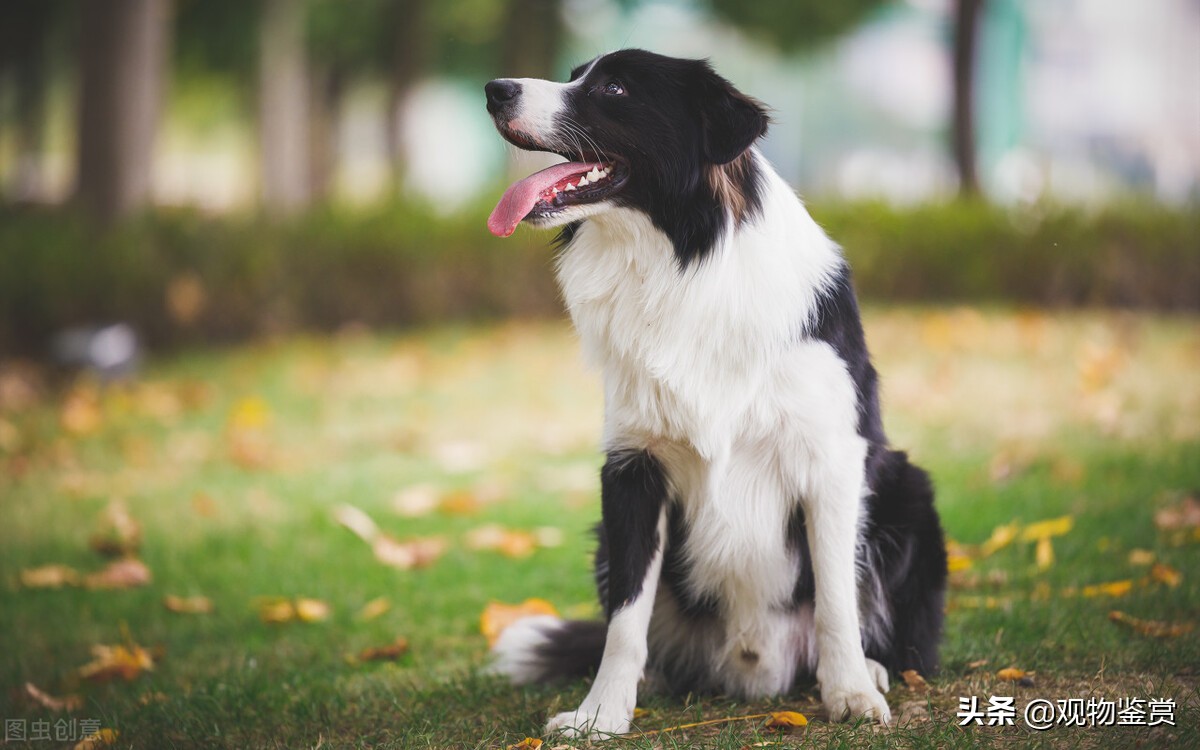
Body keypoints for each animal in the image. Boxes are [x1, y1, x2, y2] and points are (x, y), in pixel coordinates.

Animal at [482, 51, 940, 739]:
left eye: (613, 87)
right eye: (576, 72)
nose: (494, 89)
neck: (683, 262)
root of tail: (757, 670)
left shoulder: (831, 461)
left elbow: (836, 598)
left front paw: (852, 696)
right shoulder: (632, 469)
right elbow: (626, 619)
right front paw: (601, 715)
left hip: (908, 491)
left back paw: (874, 670)